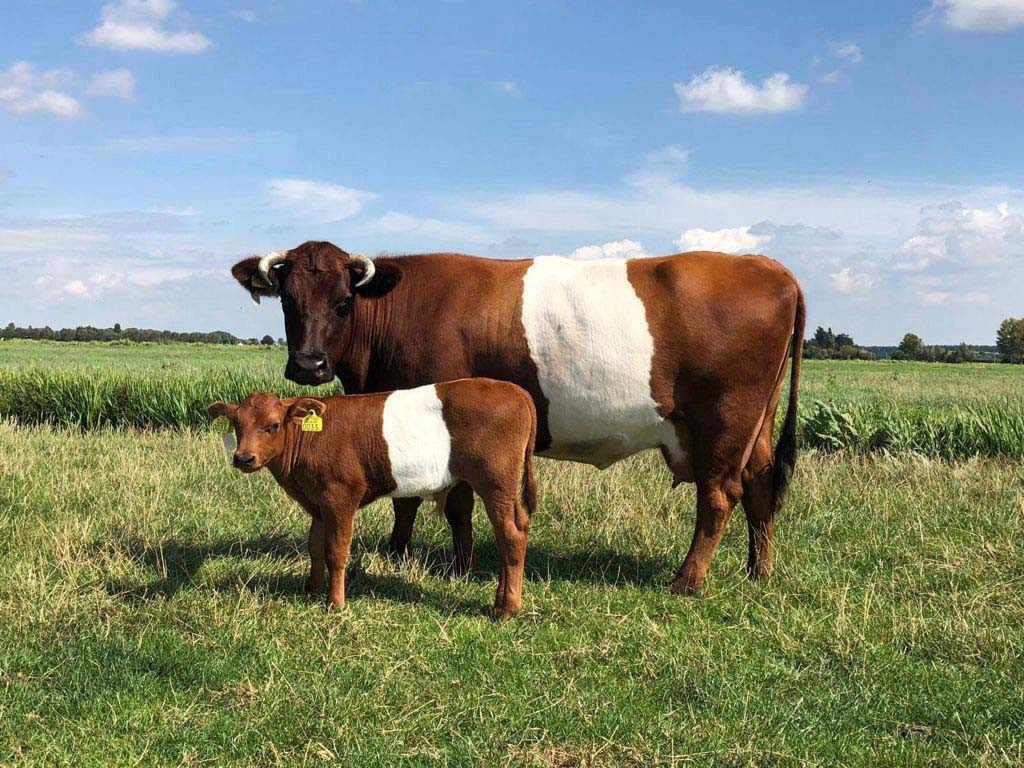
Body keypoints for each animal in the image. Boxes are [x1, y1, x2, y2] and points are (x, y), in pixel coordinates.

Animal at [207, 378, 537, 618]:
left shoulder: (340, 495)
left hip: (495, 481)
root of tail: (515, 390)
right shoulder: (318, 503)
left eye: (273, 425)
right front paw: (312, 588)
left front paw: (335, 602)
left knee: (511, 533)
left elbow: (336, 551)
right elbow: (314, 546)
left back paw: (506, 609)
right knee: (511, 531)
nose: (243, 458)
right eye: (236, 423)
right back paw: (501, 600)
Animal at [231, 240, 805, 595]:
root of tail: (769, 266)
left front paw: (456, 566)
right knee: (759, 486)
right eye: (287, 300)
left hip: (725, 419)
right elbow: (409, 499)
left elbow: (448, 501)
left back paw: (686, 581)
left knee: (720, 495)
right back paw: (758, 571)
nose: (309, 365)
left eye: (344, 301)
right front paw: (402, 554)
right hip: (757, 422)